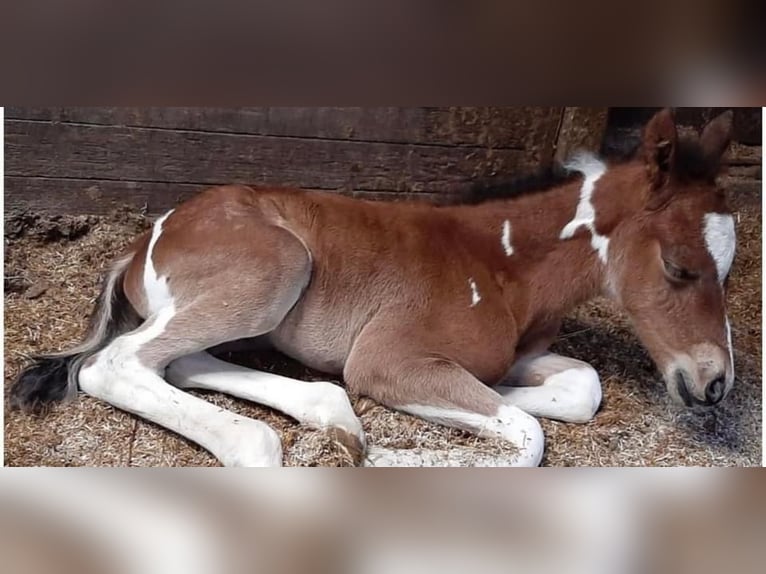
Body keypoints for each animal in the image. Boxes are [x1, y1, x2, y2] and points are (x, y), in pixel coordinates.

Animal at [10, 108, 736, 468]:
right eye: (680, 267)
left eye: (728, 269)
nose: (714, 385)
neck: (503, 268)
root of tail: (144, 239)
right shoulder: (387, 358)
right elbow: (528, 435)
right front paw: (380, 455)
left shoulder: (511, 356)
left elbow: (578, 389)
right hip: (277, 268)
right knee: (117, 363)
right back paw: (266, 442)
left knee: (178, 359)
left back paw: (330, 414)